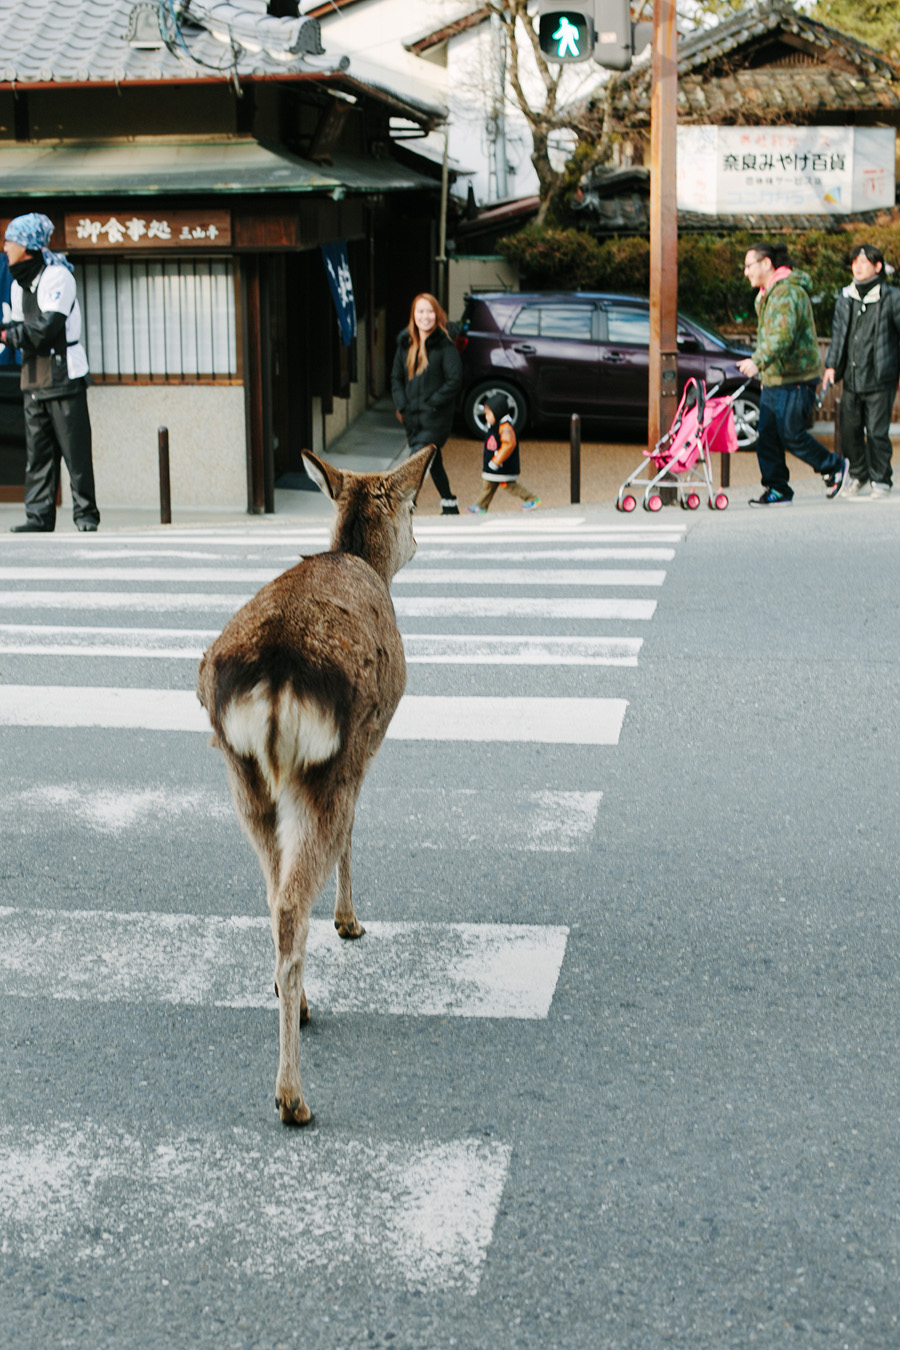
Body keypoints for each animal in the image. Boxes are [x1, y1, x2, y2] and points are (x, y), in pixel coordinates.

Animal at [196, 445, 435, 1126]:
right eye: (413, 505)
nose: (422, 539)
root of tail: (276, 682)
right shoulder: (367, 747)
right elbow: (355, 830)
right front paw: (350, 920)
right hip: (323, 768)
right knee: (292, 899)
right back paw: (292, 1094)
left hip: (242, 776)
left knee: (274, 891)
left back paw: (288, 998)